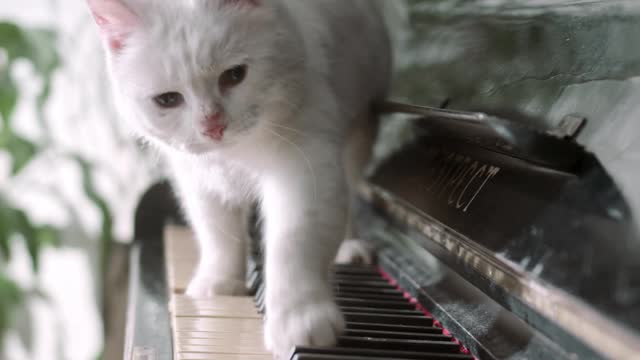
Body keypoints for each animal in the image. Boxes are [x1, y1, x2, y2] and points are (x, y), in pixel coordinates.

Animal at [87, 0, 392, 354]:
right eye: (167, 100)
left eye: (234, 76)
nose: (212, 126)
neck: (234, 155)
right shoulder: (199, 182)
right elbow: (217, 235)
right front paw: (220, 283)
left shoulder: (306, 170)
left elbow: (293, 243)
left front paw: (299, 321)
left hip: (359, 131)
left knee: (351, 193)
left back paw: (350, 247)